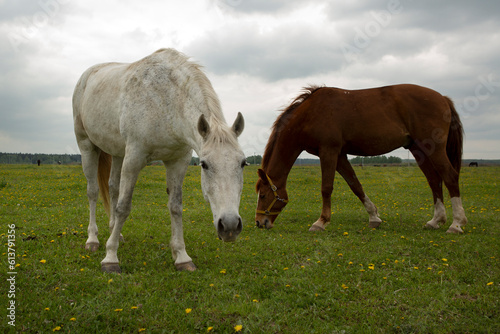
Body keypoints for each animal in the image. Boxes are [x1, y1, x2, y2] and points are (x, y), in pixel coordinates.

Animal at [73, 48, 246, 272]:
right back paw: (92, 240)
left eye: (242, 163)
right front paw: (110, 258)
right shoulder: (134, 158)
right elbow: (123, 207)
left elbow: (175, 206)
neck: (167, 101)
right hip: (87, 146)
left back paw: (116, 233)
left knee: (112, 188)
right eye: (204, 165)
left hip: (118, 154)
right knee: (93, 192)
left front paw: (182, 257)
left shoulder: (177, 161)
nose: (230, 226)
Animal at [256, 85, 466, 234]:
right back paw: (436, 220)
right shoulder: (340, 155)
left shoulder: (329, 151)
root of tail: (443, 98)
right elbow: (355, 185)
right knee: (434, 180)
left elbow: (326, 188)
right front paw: (374, 217)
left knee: (450, 176)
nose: (259, 222)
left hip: (435, 149)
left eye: (263, 195)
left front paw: (321, 222)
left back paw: (456, 224)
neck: (311, 113)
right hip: (418, 148)